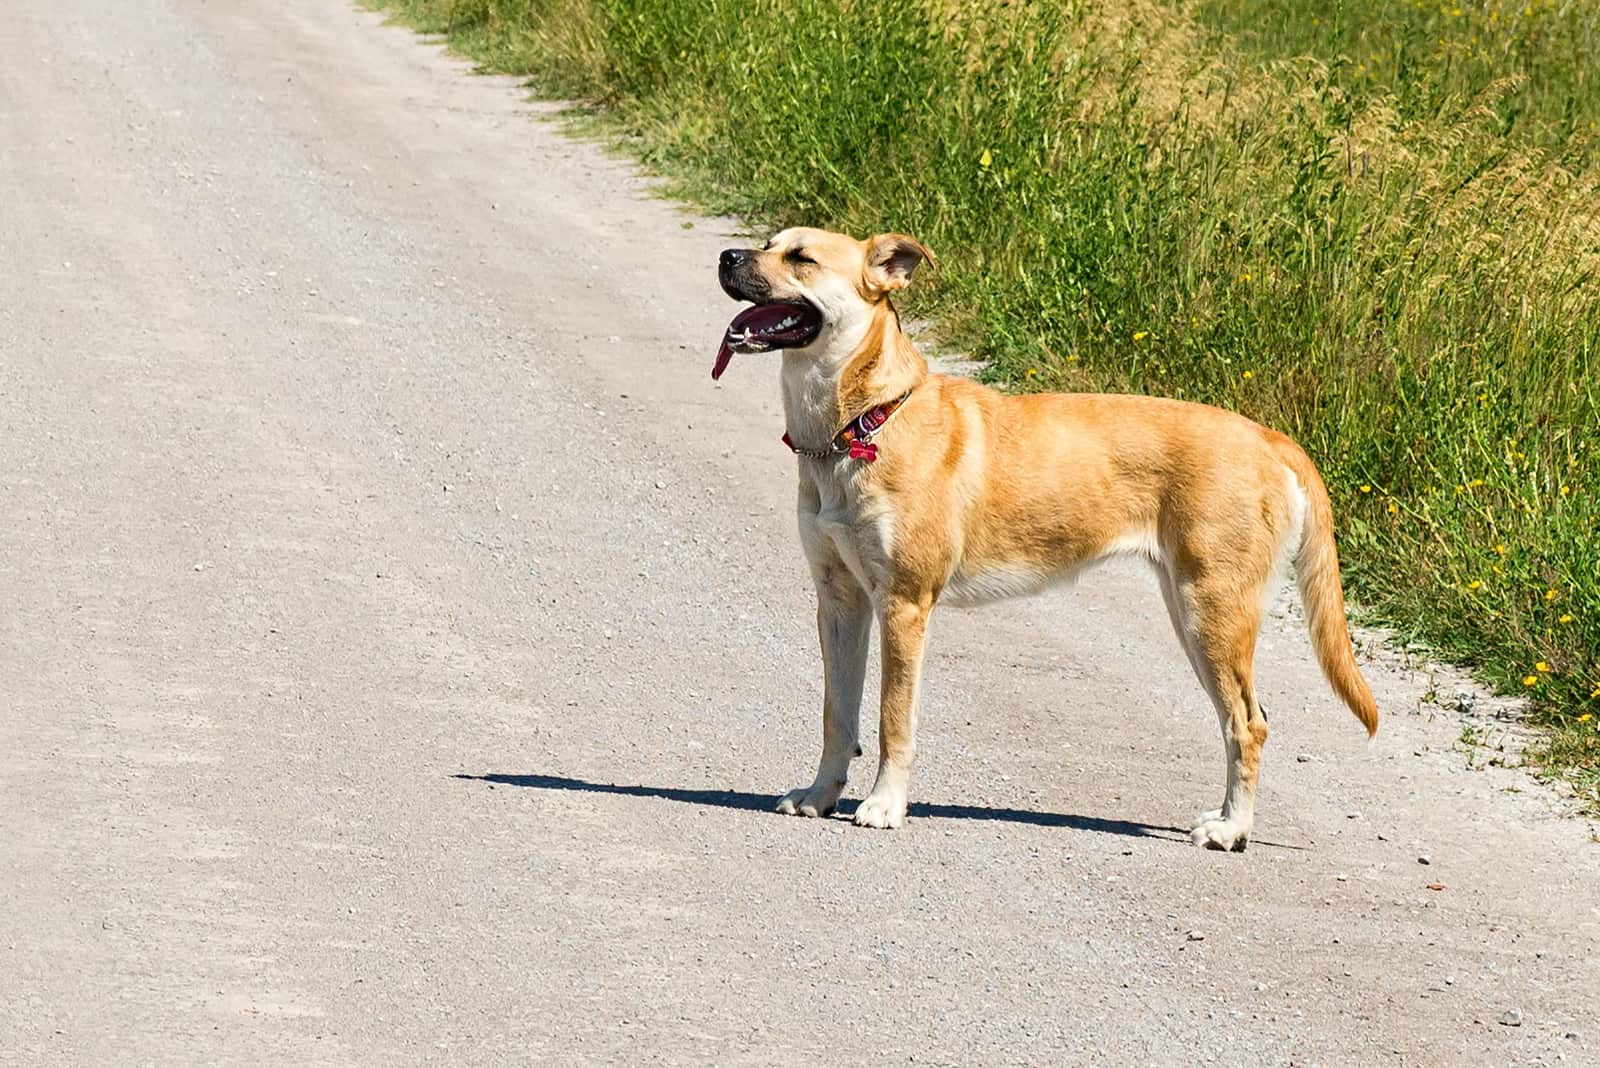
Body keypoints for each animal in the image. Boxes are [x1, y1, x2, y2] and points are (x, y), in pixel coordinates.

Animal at [713, 227, 1376, 850]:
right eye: (769, 243)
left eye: (801, 258)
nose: (726, 257)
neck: (865, 420)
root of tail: (1269, 437)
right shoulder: (840, 600)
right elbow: (838, 715)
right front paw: (821, 795)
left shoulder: (903, 605)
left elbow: (891, 720)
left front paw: (884, 806)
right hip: (1195, 613)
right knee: (1247, 719)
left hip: (1210, 613)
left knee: (1248, 724)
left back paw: (1231, 829)